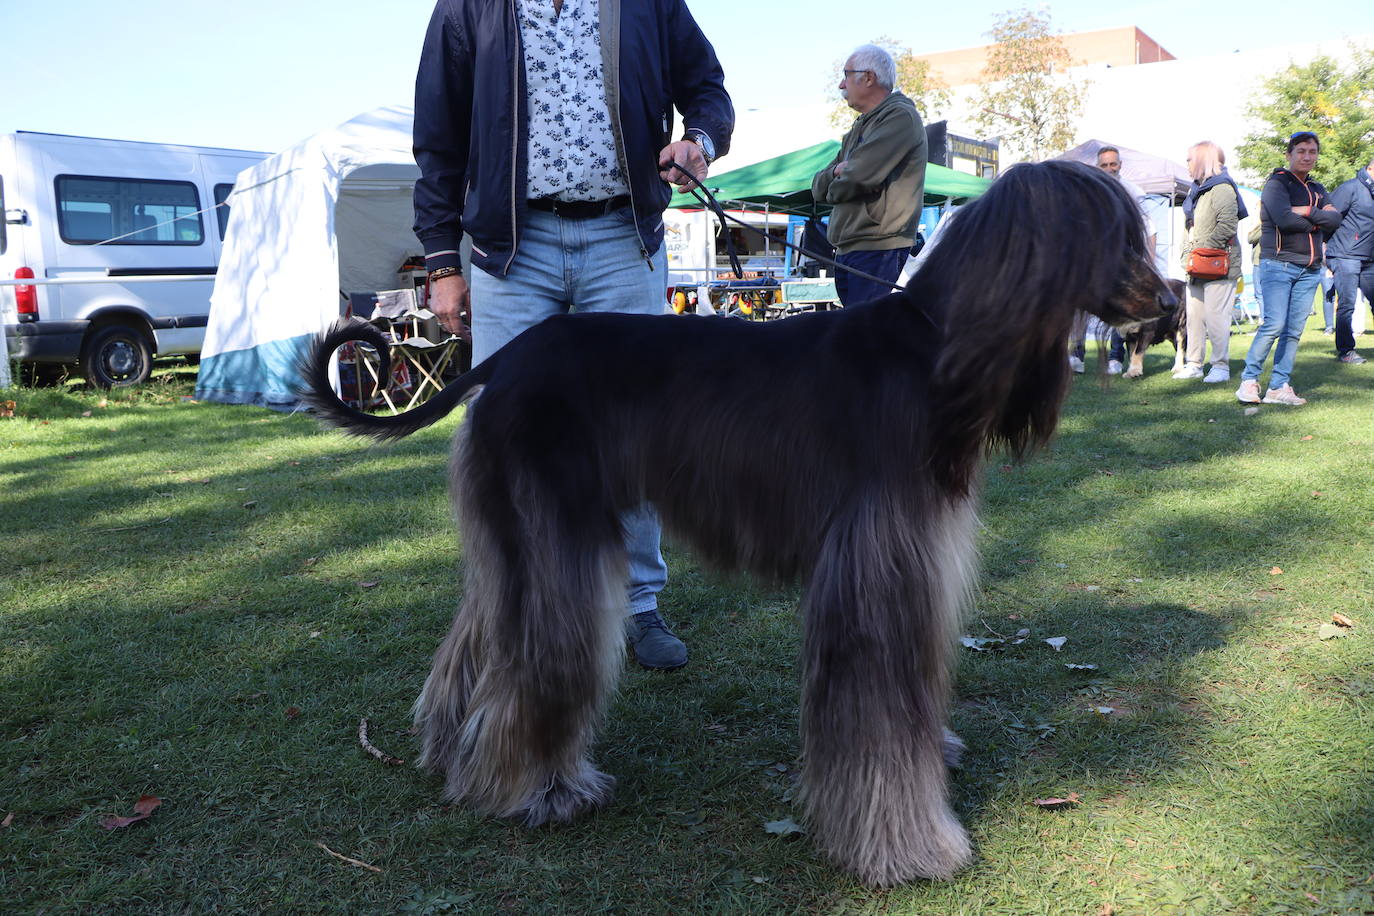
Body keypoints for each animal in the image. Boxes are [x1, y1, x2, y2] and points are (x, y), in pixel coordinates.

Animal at [298, 161, 1170, 884]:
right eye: (1112, 236)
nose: (1165, 306)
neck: (936, 352)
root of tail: (500, 359)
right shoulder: (875, 564)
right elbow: (881, 723)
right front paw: (912, 847)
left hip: (508, 534)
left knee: (480, 633)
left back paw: (449, 751)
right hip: (556, 528)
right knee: (539, 662)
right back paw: (536, 789)